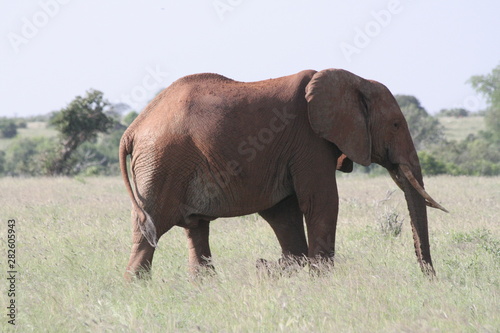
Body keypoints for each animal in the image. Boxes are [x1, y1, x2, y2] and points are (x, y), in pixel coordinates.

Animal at [119, 68, 448, 278]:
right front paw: (321, 279)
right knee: (150, 229)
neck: (356, 81)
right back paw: (138, 287)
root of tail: (133, 128)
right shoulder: (310, 140)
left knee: (196, 228)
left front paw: (283, 269)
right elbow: (321, 202)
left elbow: (283, 211)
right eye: (395, 124)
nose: (428, 277)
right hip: (162, 161)